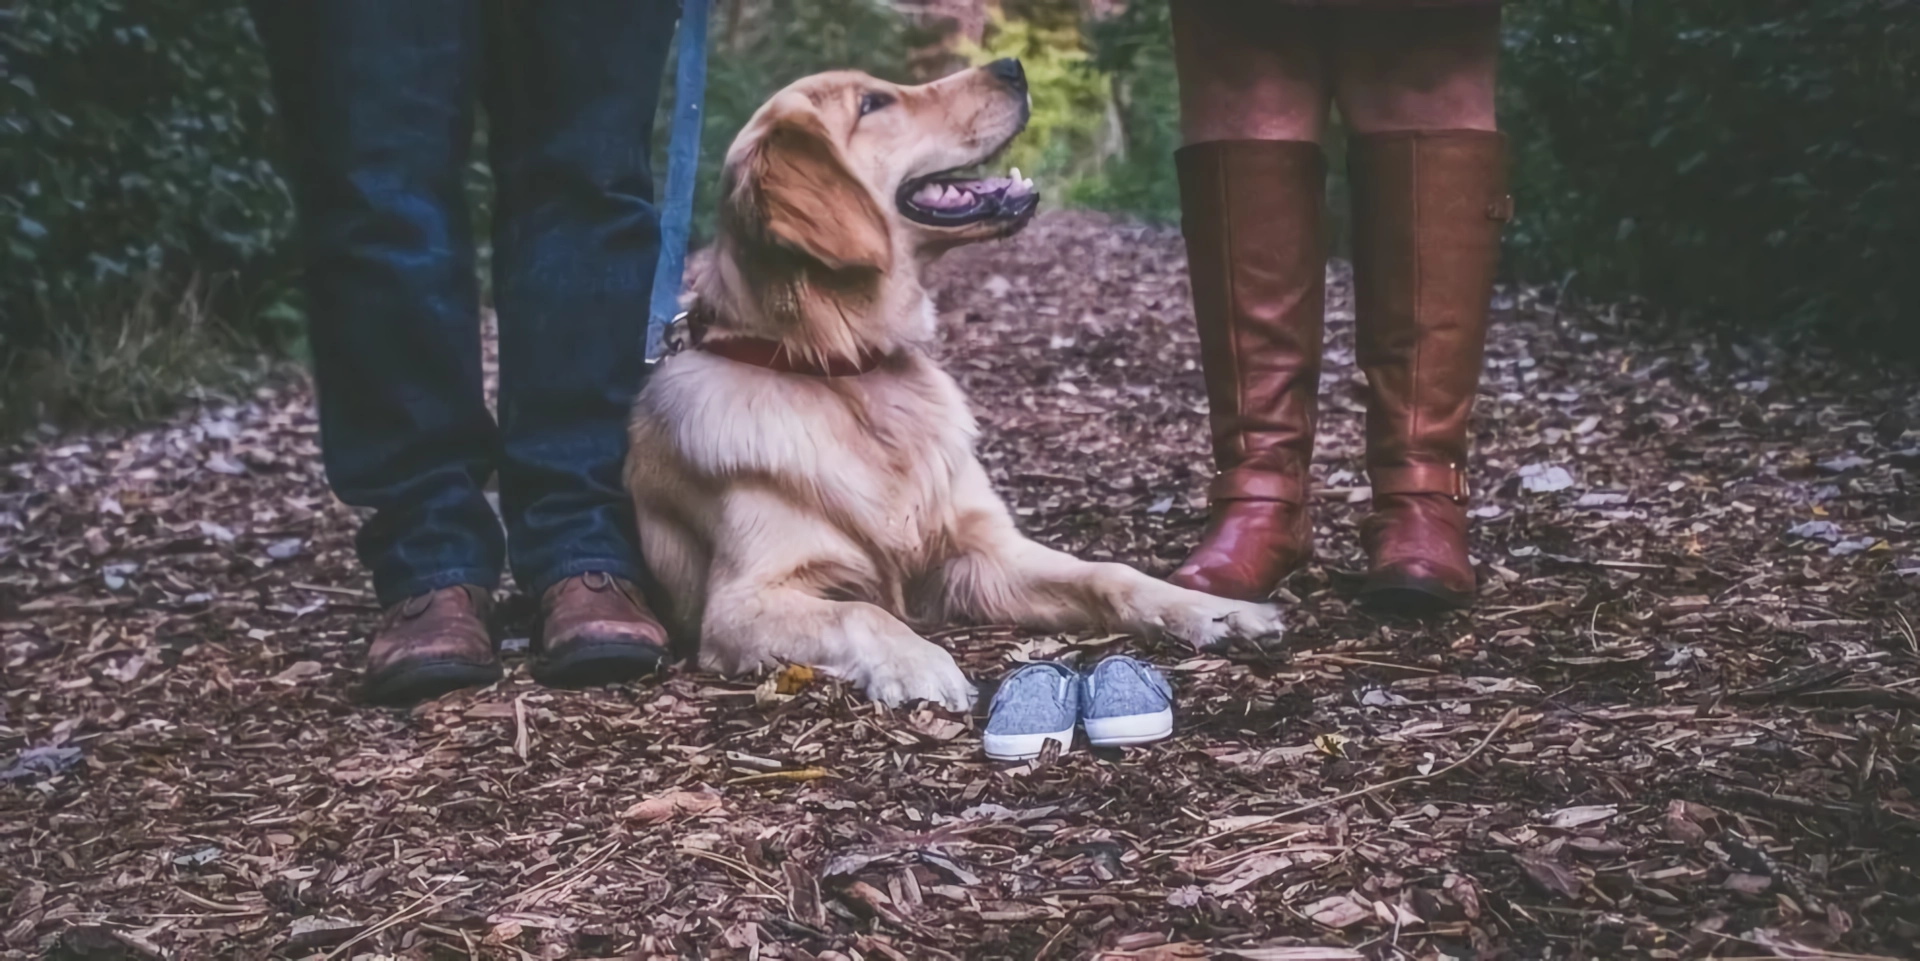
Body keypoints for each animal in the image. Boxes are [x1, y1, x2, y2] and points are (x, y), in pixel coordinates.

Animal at [629, 58, 1290, 705]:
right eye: (872, 104)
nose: (1014, 66)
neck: (845, 371)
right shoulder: (739, 604)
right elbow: (863, 612)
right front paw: (920, 662)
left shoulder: (981, 553)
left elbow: (1108, 572)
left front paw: (1215, 610)